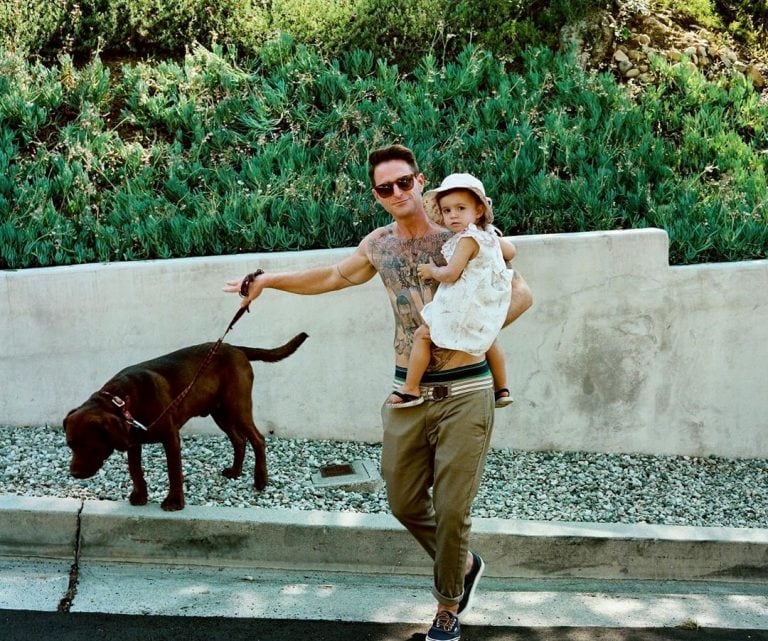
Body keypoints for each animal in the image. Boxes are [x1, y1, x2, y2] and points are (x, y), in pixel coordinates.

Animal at [63, 336, 308, 510]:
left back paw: (260, 480)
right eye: (70, 445)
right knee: (239, 440)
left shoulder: (171, 438)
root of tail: (235, 348)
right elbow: (135, 471)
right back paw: (236, 471)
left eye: (90, 445)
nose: (73, 474)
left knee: (257, 439)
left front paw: (174, 502)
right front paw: (140, 495)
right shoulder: (132, 441)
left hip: (238, 407)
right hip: (221, 413)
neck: (123, 400)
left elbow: (174, 471)